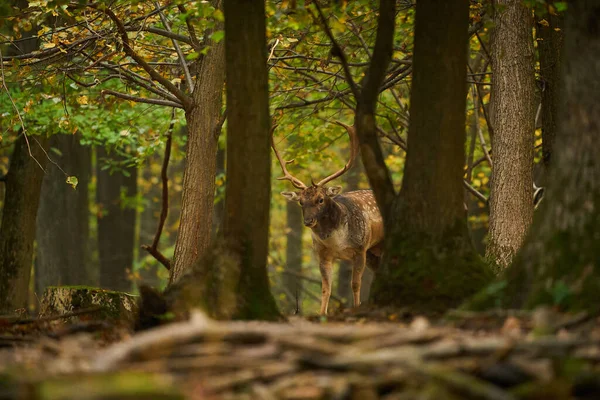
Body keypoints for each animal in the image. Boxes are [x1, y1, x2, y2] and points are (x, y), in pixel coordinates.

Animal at [274, 122, 384, 316]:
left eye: (320, 199)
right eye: (301, 202)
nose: (308, 221)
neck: (337, 242)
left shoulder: (360, 248)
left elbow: (355, 284)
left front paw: (356, 307)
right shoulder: (322, 254)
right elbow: (326, 288)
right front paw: (322, 314)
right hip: (374, 251)